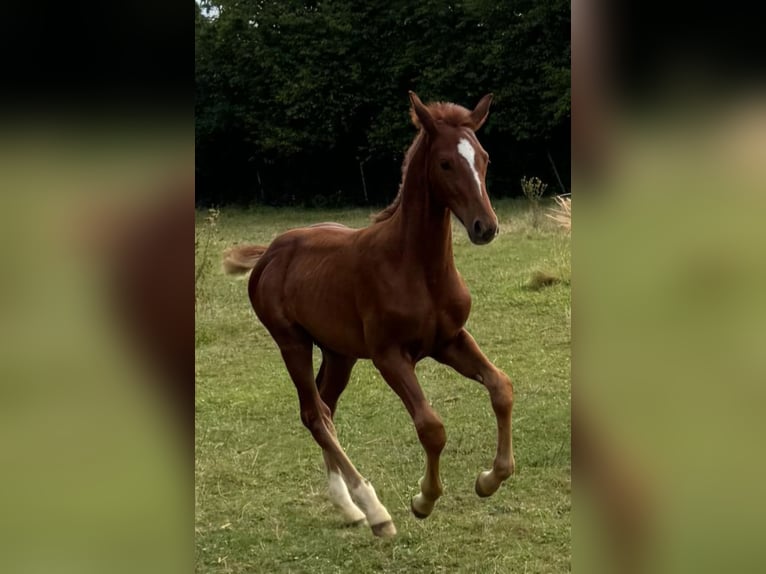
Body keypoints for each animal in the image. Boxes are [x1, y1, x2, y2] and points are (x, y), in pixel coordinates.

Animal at [225, 92, 520, 536]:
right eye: (445, 163)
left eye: (484, 157)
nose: (485, 226)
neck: (416, 266)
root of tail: (271, 250)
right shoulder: (389, 355)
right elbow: (431, 427)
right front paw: (423, 500)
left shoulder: (450, 340)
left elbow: (501, 387)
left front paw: (489, 480)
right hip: (292, 342)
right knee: (314, 413)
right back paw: (375, 510)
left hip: (339, 353)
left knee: (324, 408)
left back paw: (350, 507)